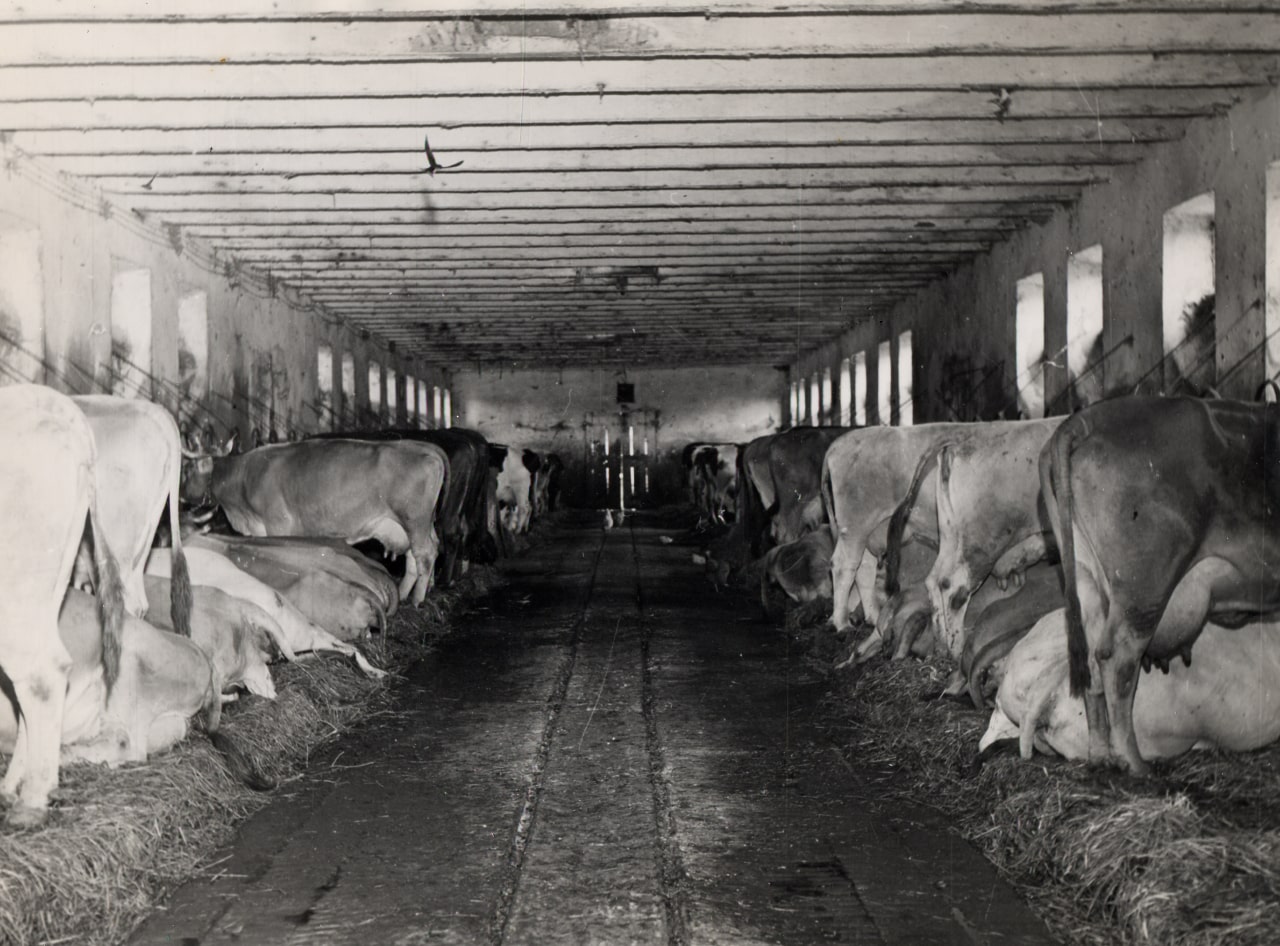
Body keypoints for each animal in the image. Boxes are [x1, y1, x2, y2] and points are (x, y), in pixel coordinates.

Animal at [182, 434, 447, 606]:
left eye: (186, 468)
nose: (182, 496)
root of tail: (424, 447)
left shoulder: (278, 523)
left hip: (415, 520)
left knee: (425, 554)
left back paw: (417, 600)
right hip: (414, 525)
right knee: (420, 553)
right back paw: (405, 594)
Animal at [1041, 395, 1280, 774]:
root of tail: (1082, 421)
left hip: (1085, 576)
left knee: (1093, 664)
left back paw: (1100, 756)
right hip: (1144, 587)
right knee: (1117, 659)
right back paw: (1136, 764)